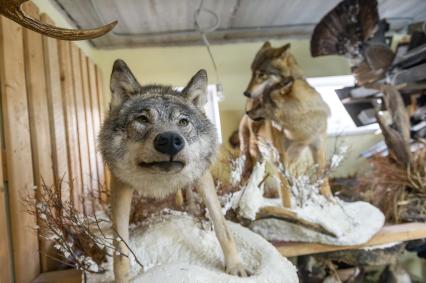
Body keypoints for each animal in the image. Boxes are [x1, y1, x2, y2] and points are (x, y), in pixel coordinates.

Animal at [99, 59, 246, 282]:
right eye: (142, 119)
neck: (161, 181)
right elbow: (120, 246)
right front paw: (123, 278)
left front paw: (236, 266)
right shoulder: (120, 186)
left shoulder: (203, 177)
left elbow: (222, 227)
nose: (169, 140)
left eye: (183, 122)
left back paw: (190, 208)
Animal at [243, 41, 332, 197]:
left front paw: (331, 201)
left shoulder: (317, 145)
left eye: (261, 74)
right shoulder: (281, 152)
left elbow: (324, 181)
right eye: (252, 73)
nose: (246, 93)